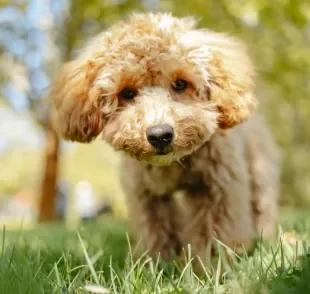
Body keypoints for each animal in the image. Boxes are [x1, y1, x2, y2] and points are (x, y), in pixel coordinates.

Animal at [50, 12, 280, 266]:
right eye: (127, 93)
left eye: (180, 84)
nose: (160, 135)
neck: (174, 164)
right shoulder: (146, 194)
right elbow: (156, 230)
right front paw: (159, 263)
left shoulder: (219, 184)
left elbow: (216, 230)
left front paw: (209, 265)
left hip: (259, 170)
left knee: (262, 206)